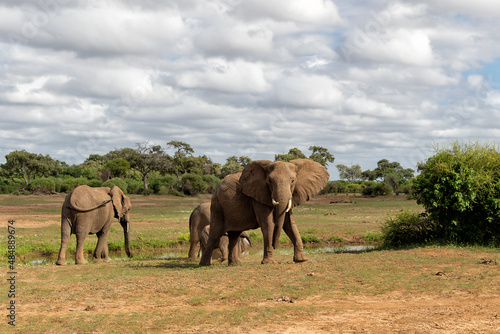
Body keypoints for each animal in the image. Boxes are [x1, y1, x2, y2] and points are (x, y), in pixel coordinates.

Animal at [199, 159, 328, 266]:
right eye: (269, 181)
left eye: (292, 181)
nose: (275, 245)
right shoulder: (257, 195)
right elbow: (268, 223)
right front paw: (269, 262)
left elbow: (289, 223)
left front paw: (301, 260)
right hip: (217, 205)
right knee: (215, 233)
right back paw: (204, 265)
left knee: (234, 235)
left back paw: (235, 264)